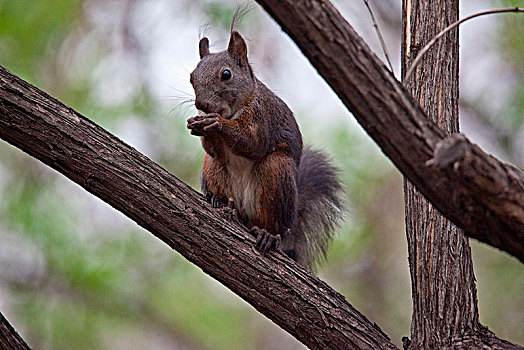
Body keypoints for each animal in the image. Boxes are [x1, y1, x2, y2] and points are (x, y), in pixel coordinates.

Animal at [186, 30, 346, 270]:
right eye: (192, 77)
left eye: (226, 74)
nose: (201, 105)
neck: (234, 109)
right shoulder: (215, 152)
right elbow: (215, 151)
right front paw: (201, 126)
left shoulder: (262, 118)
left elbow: (253, 143)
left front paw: (217, 123)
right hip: (212, 168)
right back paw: (218, 199)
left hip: (276, 173)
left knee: (272, 223)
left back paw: (268, 235)